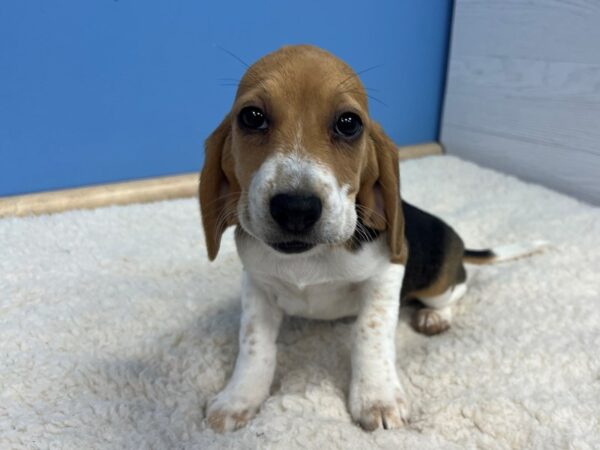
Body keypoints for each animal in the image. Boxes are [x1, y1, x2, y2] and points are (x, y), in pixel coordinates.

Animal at [199, 44, 540, 432]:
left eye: (349, 124)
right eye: (252, 117)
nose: (296, 208)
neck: (307, 259)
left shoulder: (390, 270)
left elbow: (370, 333)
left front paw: (377, 397)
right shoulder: (257, 284)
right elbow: (254, 343)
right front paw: (239, 398)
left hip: (437, 284)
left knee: (459, 286)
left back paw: (435, 317)